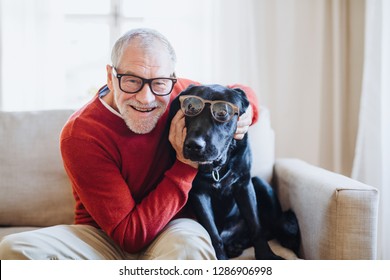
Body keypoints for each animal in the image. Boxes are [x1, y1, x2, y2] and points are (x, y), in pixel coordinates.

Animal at [169, 84, 300, 260]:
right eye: (190, 107)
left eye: (222, 112)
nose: (194, 145)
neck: (217, 168)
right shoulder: (199, 193)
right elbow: (213, 234)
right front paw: (220, 258)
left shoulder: (243, 185)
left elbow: (256, 225)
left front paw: (266, 255)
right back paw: (234, 247)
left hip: (260, 183)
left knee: (276, 226)